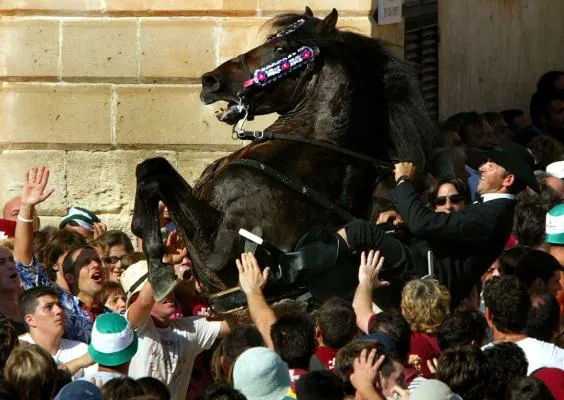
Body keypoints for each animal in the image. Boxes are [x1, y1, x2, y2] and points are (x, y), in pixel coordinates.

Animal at [131, 7, 436, 310]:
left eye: (281, 48)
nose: (211, 81)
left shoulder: (219, 248)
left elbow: (156, 179)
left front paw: (158, 269)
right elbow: (150, 168)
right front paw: (145, 239)